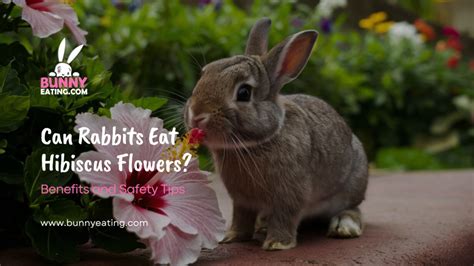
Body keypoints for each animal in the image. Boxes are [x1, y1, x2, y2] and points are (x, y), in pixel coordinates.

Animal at [183, 17, 368, 250]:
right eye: (204, 74)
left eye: (244, 93)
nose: (197, 114)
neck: (256, 144)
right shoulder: (242, 200)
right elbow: (241, 217)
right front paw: (233, 237)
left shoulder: (290, 196)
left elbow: (284, 217)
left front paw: (277, 244)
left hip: (352, 185)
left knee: (354, 208)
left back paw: (344, 227)